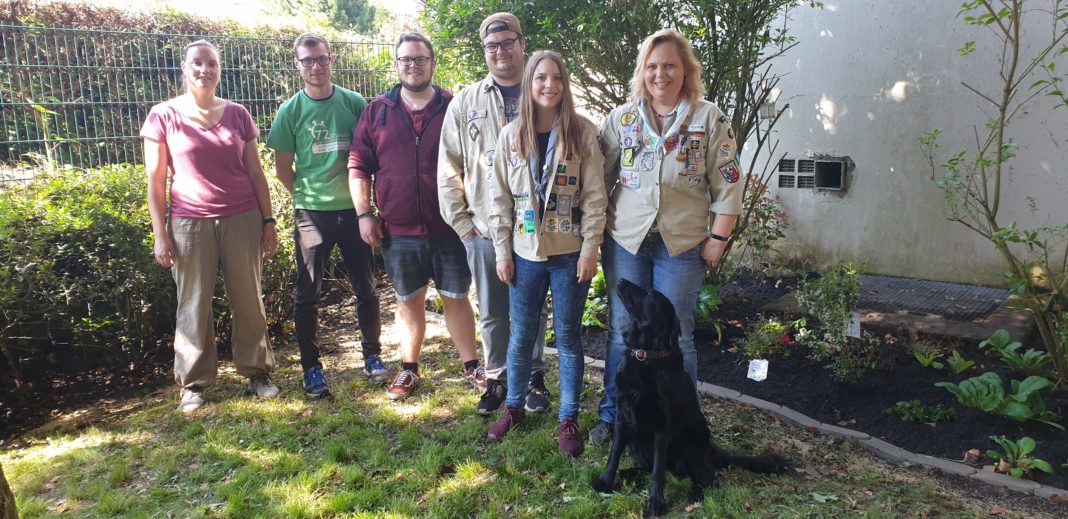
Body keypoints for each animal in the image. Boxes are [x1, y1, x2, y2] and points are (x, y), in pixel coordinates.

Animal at [589, 279, 790, 514]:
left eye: (650, 294)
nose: (621, 281)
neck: (647, 358)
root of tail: (710, 450)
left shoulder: (662, 428)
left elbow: (658, 470)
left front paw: (656, 502)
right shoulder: (623, 419)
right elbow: (614, 456)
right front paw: (605, 481)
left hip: (688, 441)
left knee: (707, 478)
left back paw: (695, 496)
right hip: (637, 442)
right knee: (649, 467)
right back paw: (628, 474)